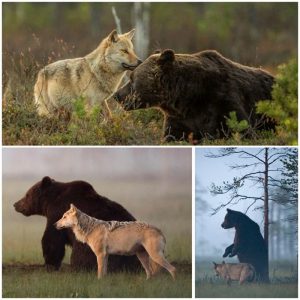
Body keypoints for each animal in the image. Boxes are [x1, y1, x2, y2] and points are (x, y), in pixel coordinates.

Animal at [113, 49, 274, 142]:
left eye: (132, 78)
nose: (116, 95)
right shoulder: (180, 119)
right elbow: (172, 136)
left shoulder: (223, 99)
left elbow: (243, 130)